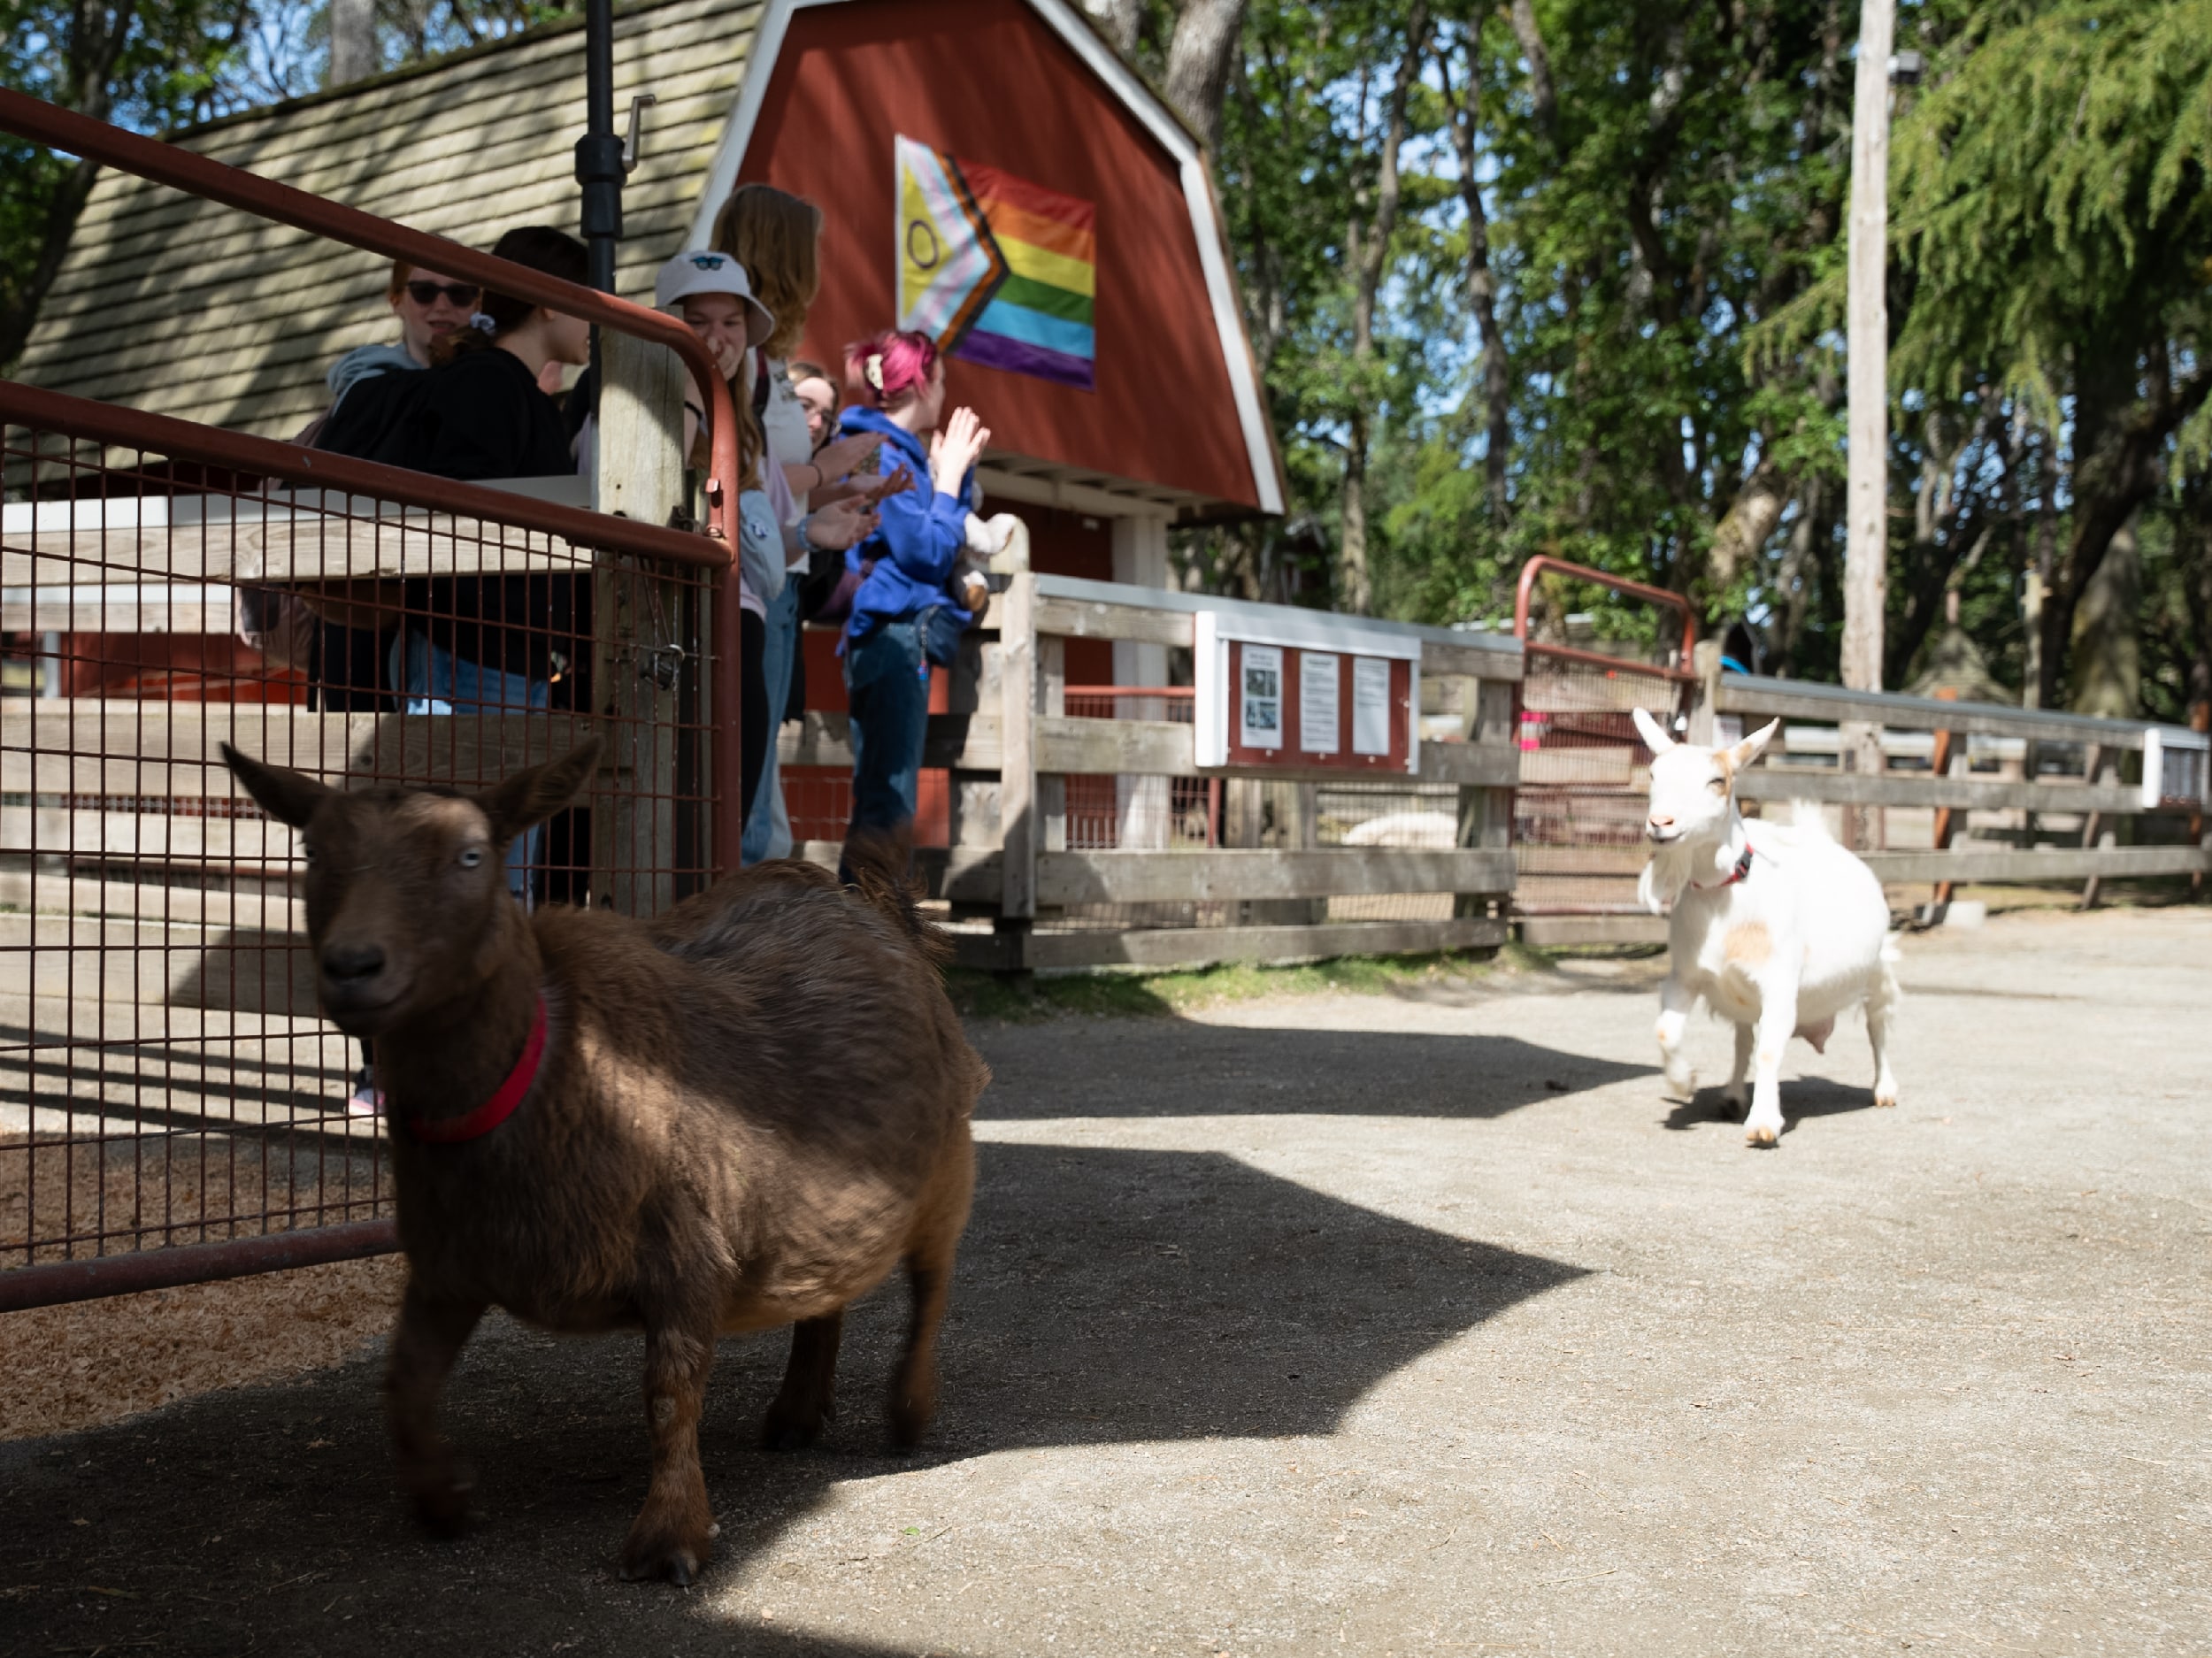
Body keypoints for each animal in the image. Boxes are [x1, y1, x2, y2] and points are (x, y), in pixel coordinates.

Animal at [224, 742, 987, 1583]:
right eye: (311, 851)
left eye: (471, 856)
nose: (353, 965)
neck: (551, 1068)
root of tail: (877, 909)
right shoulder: (451, 1268)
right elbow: (406, 1382)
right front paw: (443, 1501)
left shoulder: (688, 1252)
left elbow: (670, 1392)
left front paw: (669, 1538)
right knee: (828, 1295)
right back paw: (795, 1414)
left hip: (946, 1169)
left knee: (932, 1285)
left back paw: (907, 1412)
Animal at [1628, 707, 1902, 1149]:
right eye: (1654, 773)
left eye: (1716, 781)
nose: (1661, 822)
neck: (1724, 895)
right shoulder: (1685, 976)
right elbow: (1667, 1031)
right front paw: (1684, 1081)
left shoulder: (1780, 983)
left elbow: (1771, 1051)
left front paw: (1763, 1123)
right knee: (1743, 1041)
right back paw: (1732, 1095)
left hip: (1877, 970)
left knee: (1877, 1025)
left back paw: (1885, 1089)